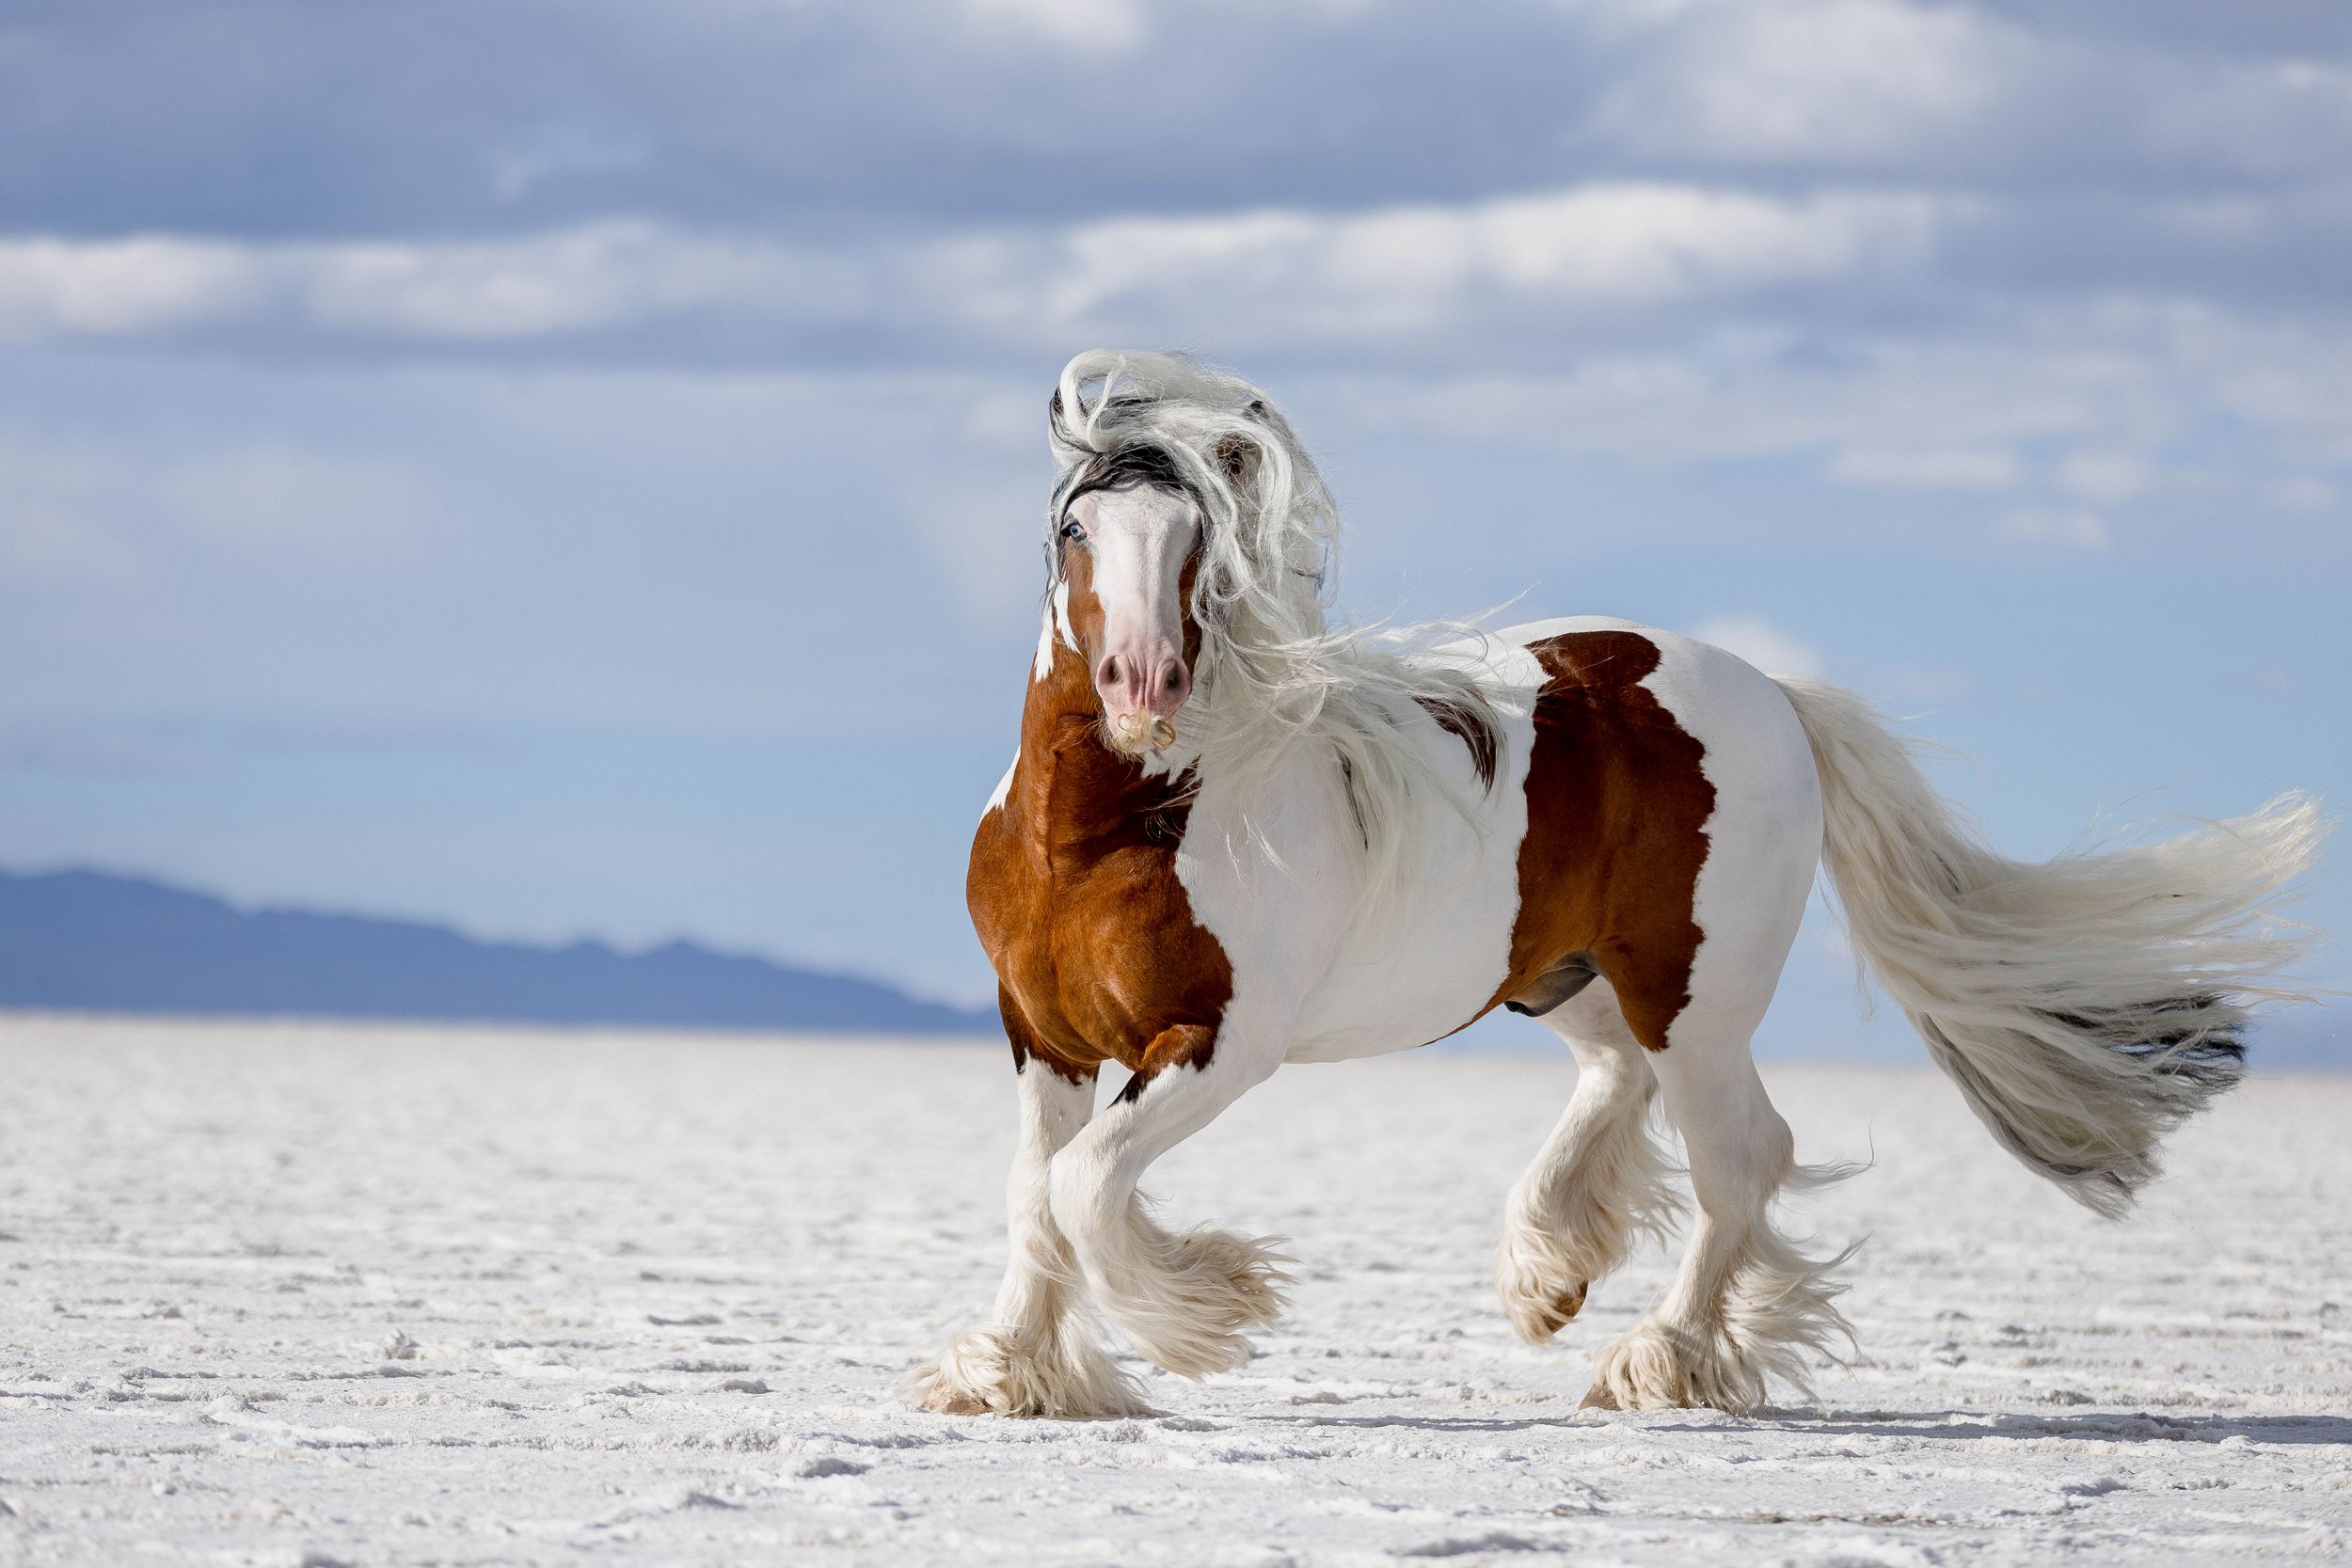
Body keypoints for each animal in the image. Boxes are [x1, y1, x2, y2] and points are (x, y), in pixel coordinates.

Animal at [909, 350, 2323, 1418]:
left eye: (1197, 534)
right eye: (1074, 527)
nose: (1144, 685)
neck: (1108, 830)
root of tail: (1771, 691)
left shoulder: (1218, 1039)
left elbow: (1086, 1187)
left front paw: (1202, 1312)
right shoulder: (1041, 1034)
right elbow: (1037, 1194)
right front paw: (1010, 1377)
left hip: (1695, 992)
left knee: (1741, 1155)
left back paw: (1663, 1356)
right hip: (1569, 974)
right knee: (1622, 1084)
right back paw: (1550, 1264)